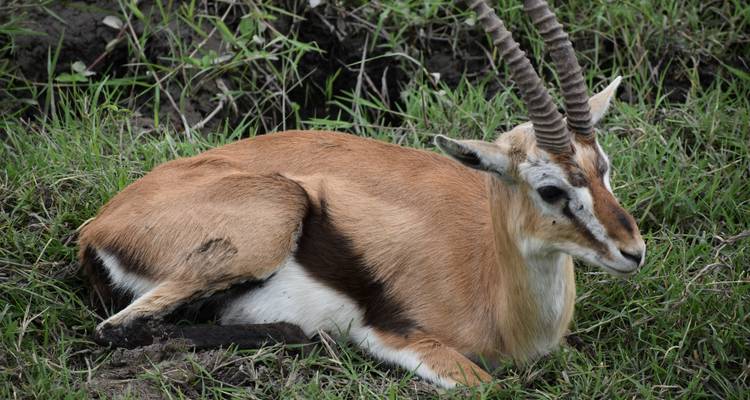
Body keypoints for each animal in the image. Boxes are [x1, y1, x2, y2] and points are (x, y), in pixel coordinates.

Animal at [79, 0, 645, 388]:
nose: (633, 251)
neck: (498, 293)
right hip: (273, 219)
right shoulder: (402, 335)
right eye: (549, 189)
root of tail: (100, 224)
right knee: (116, 329)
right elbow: (487, 386)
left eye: (605, 168)